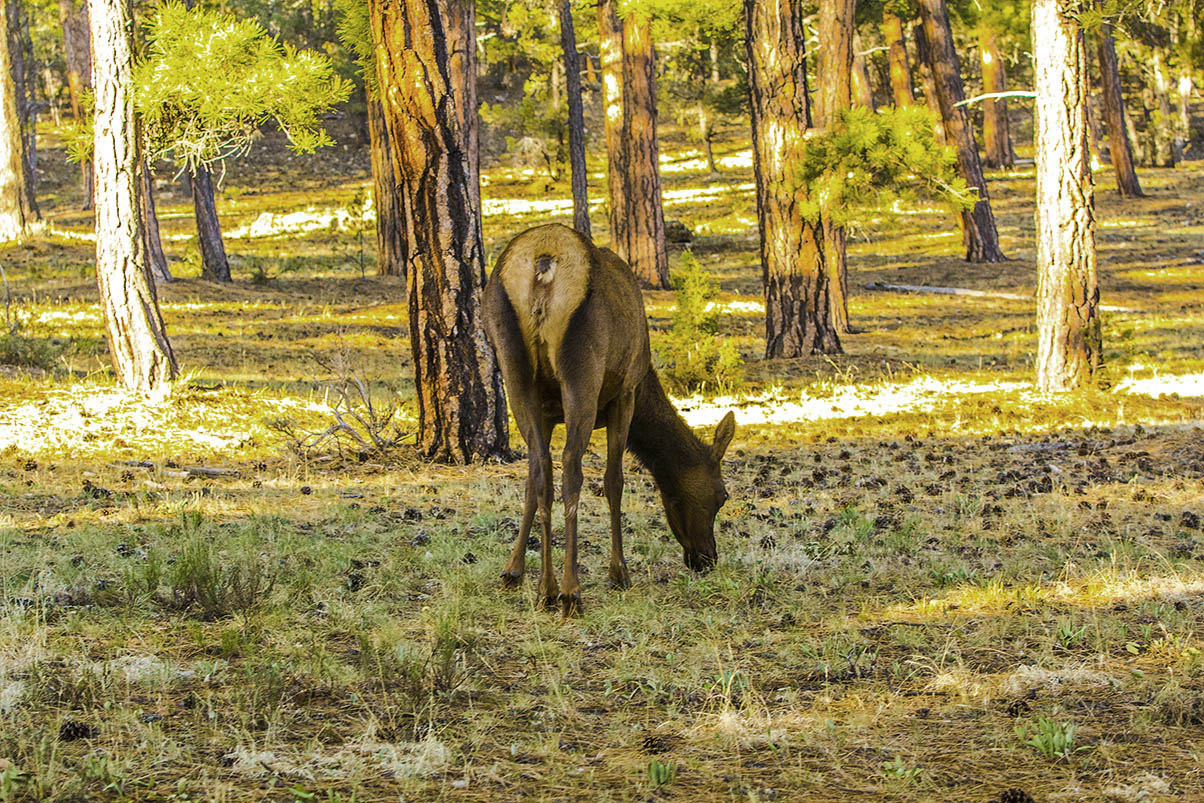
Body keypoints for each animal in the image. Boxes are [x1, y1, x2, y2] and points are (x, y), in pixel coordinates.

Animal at [481, 225, 732, 616]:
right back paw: (570, 591)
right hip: (582, 365)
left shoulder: (547, 411)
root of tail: (543, 264)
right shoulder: (625, 393)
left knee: (541, 468)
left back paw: (545, 589)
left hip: (514, 368)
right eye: (722, 496)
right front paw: (619, 572)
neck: (646, 385)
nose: (706, 558)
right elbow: (614, 480)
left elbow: (531, 485)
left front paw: (513, 572)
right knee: (571, 468)